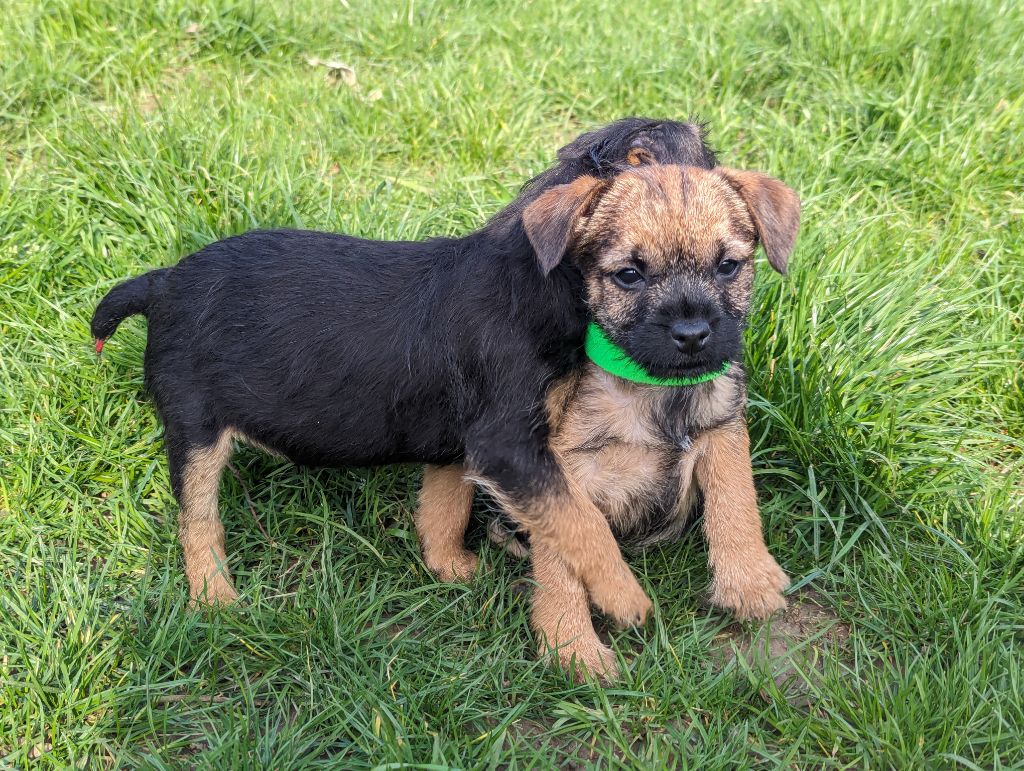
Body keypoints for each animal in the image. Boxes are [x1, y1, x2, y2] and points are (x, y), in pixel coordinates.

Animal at [92, 115, 716, 630]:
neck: (546, 273)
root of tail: (161, 283)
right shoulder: (509, 445)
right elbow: (582, 521)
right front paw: (626, 600)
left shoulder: (457, 444)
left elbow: (445, 509)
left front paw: (451, 569)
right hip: (194, 424)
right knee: (198, 521)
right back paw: (216, 599)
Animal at [421, 163, 798, 679]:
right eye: (629, 275)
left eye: (728, 266)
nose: (692, 334)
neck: (656, 391)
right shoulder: (561, 470)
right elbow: (570, 546)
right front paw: (571, 645)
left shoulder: (722, 428)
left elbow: (736, 502)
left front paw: (749, 581)